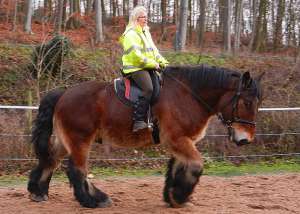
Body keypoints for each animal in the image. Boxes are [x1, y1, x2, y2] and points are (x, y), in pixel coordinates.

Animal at [27, 64, 264, 208]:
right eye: (246, 103)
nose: (245, 139)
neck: (188, 96)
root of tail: (64, 93)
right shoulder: (178, 140)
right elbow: (196, 165)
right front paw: (180, 195)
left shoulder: (182, 142)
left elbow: (177, 168)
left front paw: (172, 196)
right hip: (79, 140)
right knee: (77, 170)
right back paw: (93, 200)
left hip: (64, 140)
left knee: (50, 160)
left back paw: (38, 192)